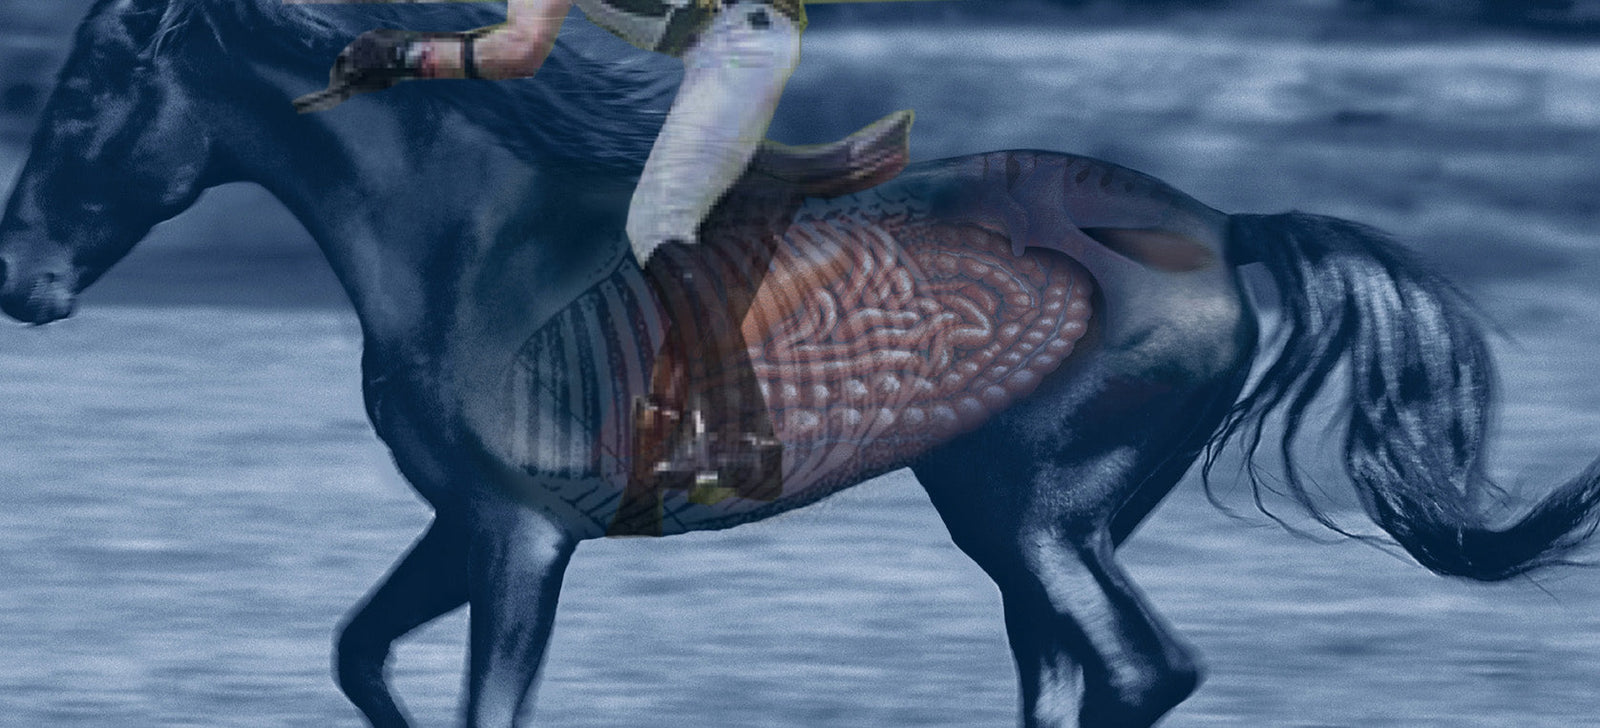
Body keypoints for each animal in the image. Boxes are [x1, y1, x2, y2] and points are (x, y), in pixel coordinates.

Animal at [4, 1, 1600, 726]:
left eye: (82, 98)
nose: (21, 282)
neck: (462, 234)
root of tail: (1220, 225)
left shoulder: (521, 533)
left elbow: (475, 698)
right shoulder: (466, 521)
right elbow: (357, 651)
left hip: (1031, 509)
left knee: (1141, 667)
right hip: (1030, 522)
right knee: (1068, 673)